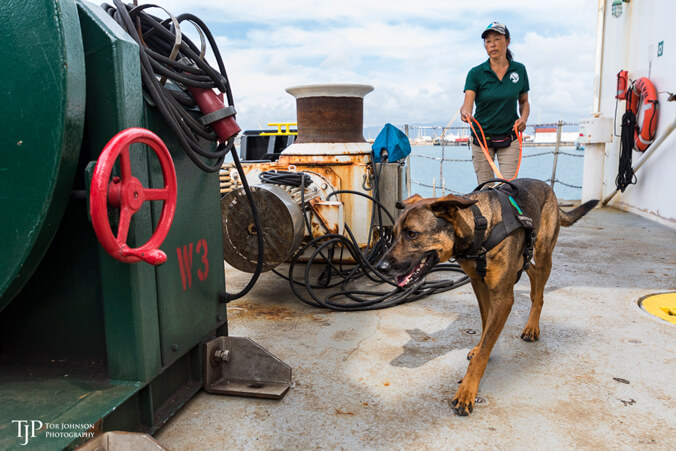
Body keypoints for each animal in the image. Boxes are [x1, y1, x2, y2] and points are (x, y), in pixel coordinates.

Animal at [378, 179, 600, 416]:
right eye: (393, 233)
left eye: (412, 234)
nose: (381, 267)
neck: (479, 227)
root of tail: (546, 186)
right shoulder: (479, 285)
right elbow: (486, 326)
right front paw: (479, 346)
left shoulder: (503, 298)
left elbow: (484, 351)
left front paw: (467, 391)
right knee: (529, 269)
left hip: (544, 253)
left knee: (538, 293)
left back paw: (532, 327)